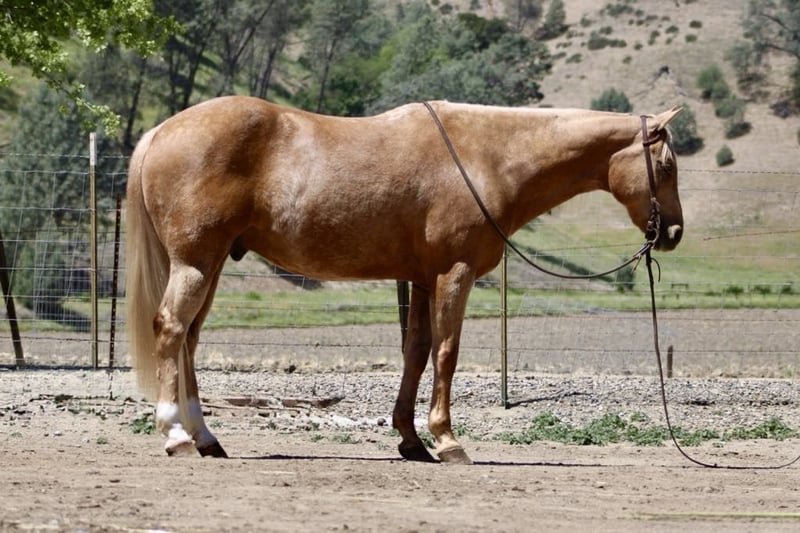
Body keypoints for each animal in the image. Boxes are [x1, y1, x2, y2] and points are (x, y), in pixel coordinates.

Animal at [125, 96, 683, 464]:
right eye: (667, 166)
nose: (673, 232)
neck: (486, 157)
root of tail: (160, 132)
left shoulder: (420, 279)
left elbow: (416, 351)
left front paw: (411, 440)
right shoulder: (453, 273)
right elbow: (447, 353)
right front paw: (448, 440)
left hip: (213, 263)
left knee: (190, 339)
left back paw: (205, 437)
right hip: (196, 262)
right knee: (172, 329)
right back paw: (176, 435)